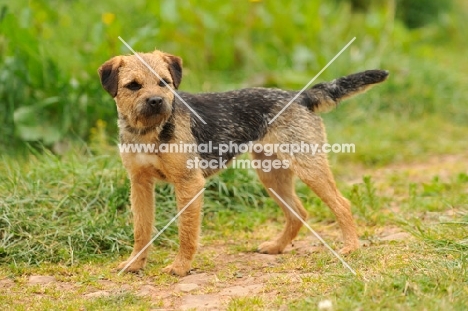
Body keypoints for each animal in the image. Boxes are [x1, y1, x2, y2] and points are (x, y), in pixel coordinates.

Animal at [98, 50, 388, 276]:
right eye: (133, 85)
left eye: (164, 83)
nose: (157, 101)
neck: (148, 131)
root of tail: (300, 95)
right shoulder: (139, 183)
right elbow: (141, 229)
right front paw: (135, 263)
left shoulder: (189, 183)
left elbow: (186, 232)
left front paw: (180, 267)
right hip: (271, 175)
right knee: (298, 212)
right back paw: (276, 246)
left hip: (308, 167)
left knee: (341, 204)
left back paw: (350, 247)